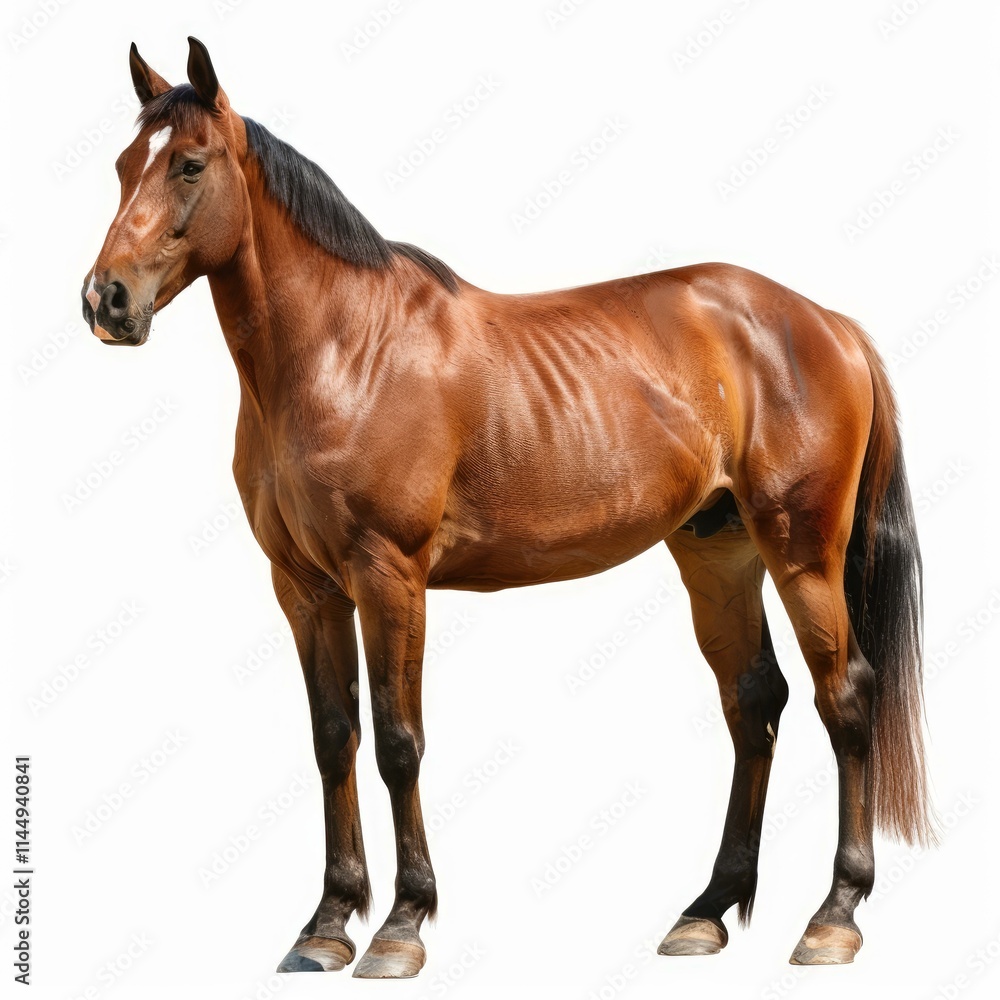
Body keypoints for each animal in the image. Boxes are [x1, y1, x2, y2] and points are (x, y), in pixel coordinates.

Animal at [81, 37, 934, 978]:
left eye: (190, 165)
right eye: (124, 165)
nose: (105, 301)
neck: (343, 350)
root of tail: (828, 324)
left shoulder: (389, 576)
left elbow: (398, 741)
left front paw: (402, 925)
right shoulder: (303, 588)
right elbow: (333, 738)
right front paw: (326, 925)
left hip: (803, 551)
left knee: (845, 699)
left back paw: (834, 916)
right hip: (718, 553)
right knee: (755, 703)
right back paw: (707, 910)